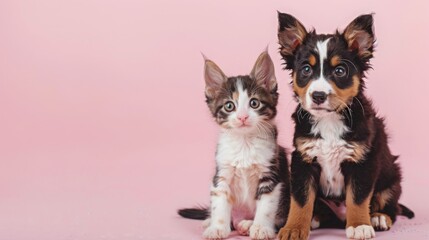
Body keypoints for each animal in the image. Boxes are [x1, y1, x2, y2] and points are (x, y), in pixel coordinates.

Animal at [176, 49, 290, 239]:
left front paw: (261, 227)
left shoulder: (271, 174)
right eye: (229, 106)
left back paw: (248, 224)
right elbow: (219, 203)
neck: (245, 143)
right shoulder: (221, 174)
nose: (242, 117)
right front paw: (217, 227)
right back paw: (211, 221)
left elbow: (266, 206)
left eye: (254, 103)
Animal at [276, 12, 412, 239]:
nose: (318, 96)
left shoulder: (363, 160)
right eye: (306, 69)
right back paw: (315, 218)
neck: (329, 120)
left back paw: (378, 217)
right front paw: (293, 228)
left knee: (390, 205)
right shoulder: (303, 159)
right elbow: (301, 200)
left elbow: (357, 198)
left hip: (392, 179)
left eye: (340, 71)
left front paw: (359, 225)